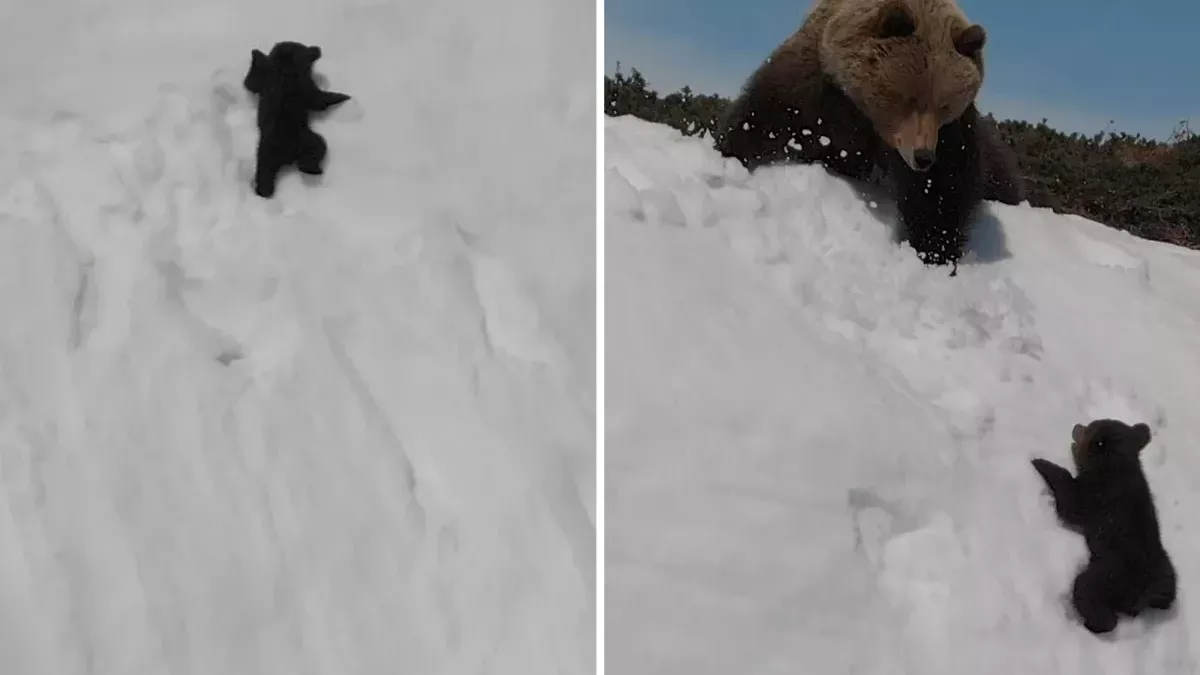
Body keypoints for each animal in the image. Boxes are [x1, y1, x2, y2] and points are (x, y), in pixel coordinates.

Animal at [243, 41, 352, 198]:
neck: (285, 69)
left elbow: (251, 83)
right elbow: (319, 100)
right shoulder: (306, 87)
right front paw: (341, 96)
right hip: (292, 144)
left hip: (283, 149)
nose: (317, 50)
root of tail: (289, 156)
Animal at [714, 0, 1025, 271]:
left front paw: (934, 250)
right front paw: (731, 158)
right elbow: (763, 115)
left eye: (945, 105)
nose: (923, 157)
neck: (864, 112)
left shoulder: (949, 133)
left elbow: (944, 186)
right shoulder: (812, 82)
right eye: (909, 98)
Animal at [1031, 419, 1177, 635]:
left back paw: (1090, 625)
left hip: (1107, 576)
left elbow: (1069, 504)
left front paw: (1041, 463)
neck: (1115, 465)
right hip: (1165, 571)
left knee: (1088, 594)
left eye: (1088, 428)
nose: (1077, 425)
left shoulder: (1094, 495)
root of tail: (1139, 597)